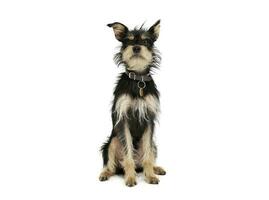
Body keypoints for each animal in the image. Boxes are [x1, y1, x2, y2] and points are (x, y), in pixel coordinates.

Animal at [99, 19, 165, 187]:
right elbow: (127, 154)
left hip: (154, 145)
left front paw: (150, 176)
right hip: (112, 142)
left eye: (146, 41)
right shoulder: (123, 120)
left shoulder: (149, 120)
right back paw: (105, 173)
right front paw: (130, 178)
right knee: (112, 165)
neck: (138, 80)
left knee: (147, 158)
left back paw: (156, 169)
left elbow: (147, 155)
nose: (136, 47)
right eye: (128, 41)